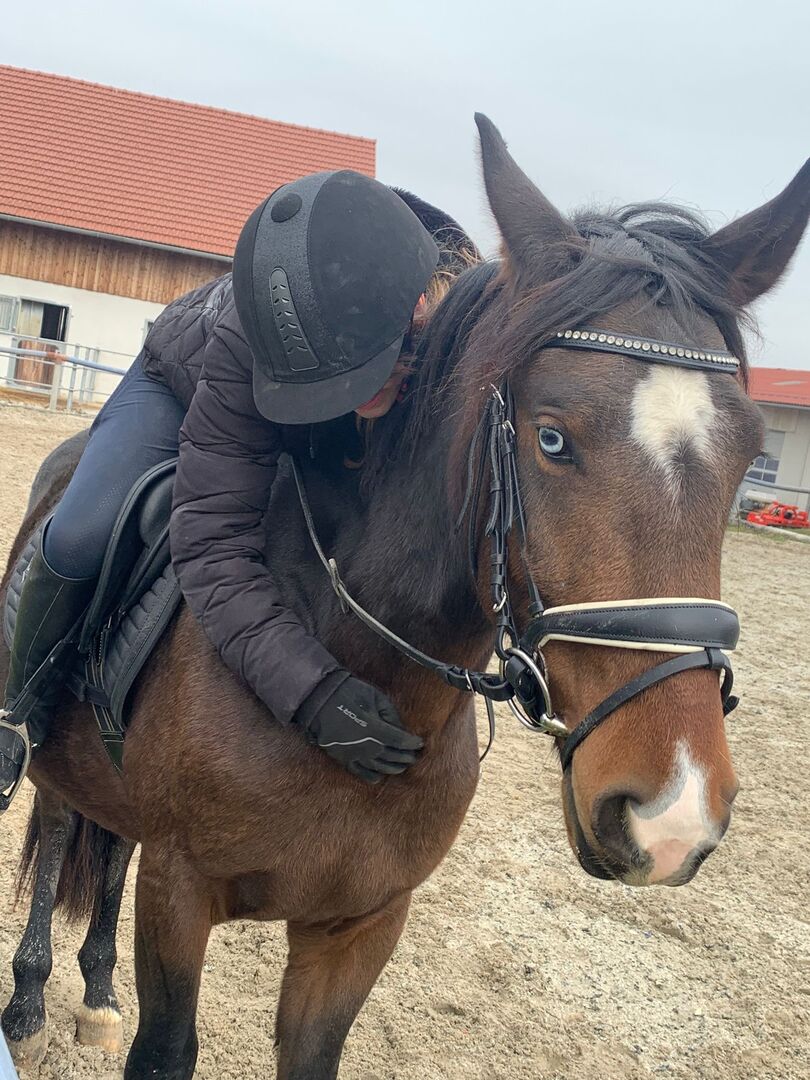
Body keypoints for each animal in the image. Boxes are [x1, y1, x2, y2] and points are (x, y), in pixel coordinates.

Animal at [1, 114, 807, 1079]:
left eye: (748, 452)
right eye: (550, 438)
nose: (672, 813)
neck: (356, 660)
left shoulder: (361, 929)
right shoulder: (180, 892)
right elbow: (165, 1049)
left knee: (104, 838)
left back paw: (94, 993)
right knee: (56, 828)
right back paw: (31, 998)